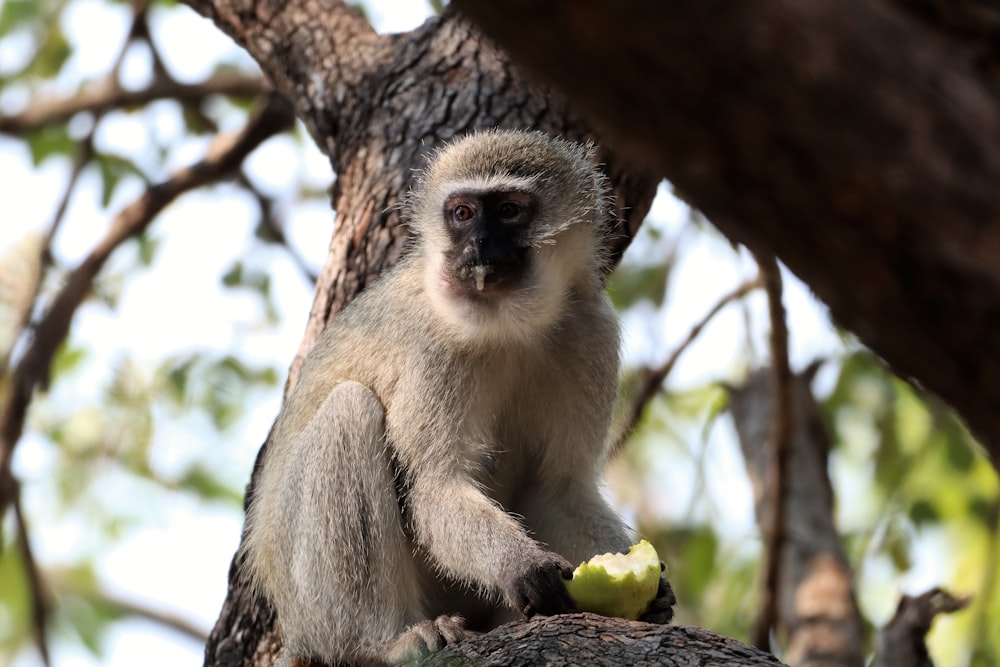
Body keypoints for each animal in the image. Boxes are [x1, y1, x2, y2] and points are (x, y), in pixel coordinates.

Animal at [239, 128, 676, 664]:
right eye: (463, 214)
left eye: (508, 210)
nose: (478, 245)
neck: (511, 323)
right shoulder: (436, 348)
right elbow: (434, 485)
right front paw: (522, 567)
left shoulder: (590, 331)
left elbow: (559, 489)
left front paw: (655, 593)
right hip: (310, 605)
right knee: (349, 411)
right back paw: (387, 641)